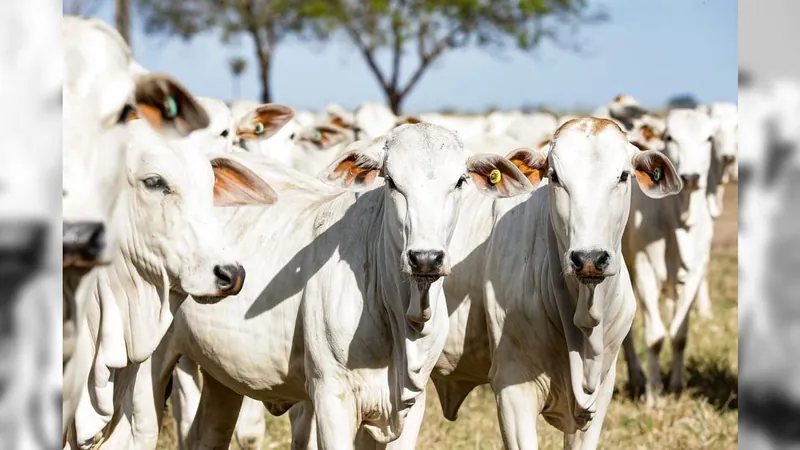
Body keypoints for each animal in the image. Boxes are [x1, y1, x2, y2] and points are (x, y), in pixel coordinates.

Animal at [149, 124, 532, 450]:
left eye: (460, 181)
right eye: (392, 182)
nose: (425, 258)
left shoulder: (411, 405)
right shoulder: (332, 398)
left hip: (221, 375)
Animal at [624, 108, 720, 404]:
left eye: (709, 138)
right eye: (669, 137)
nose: (691, 177)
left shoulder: (695, 271)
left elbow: (679, 335)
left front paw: (677, 386)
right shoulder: (643, 266)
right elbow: (655, 336)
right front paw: (654, 393)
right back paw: (637, 376)